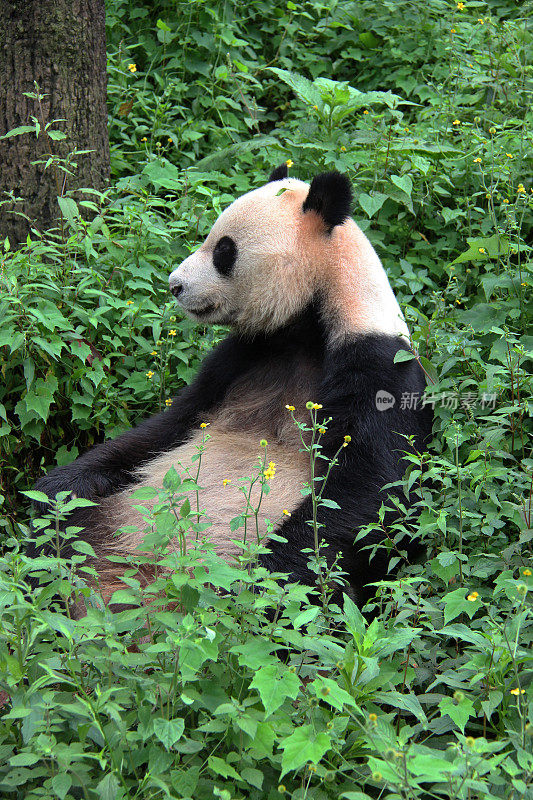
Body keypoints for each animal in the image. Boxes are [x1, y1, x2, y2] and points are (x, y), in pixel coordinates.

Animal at [33, 167, 432, 608]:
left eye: (225, 250)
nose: (175, 285)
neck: (311, 322)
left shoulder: (379, 366)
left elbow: (375, 489)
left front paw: (254, 583)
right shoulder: (242, 358)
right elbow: (170, 425)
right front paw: (60, 488)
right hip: (111, 522)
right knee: (66, 540)